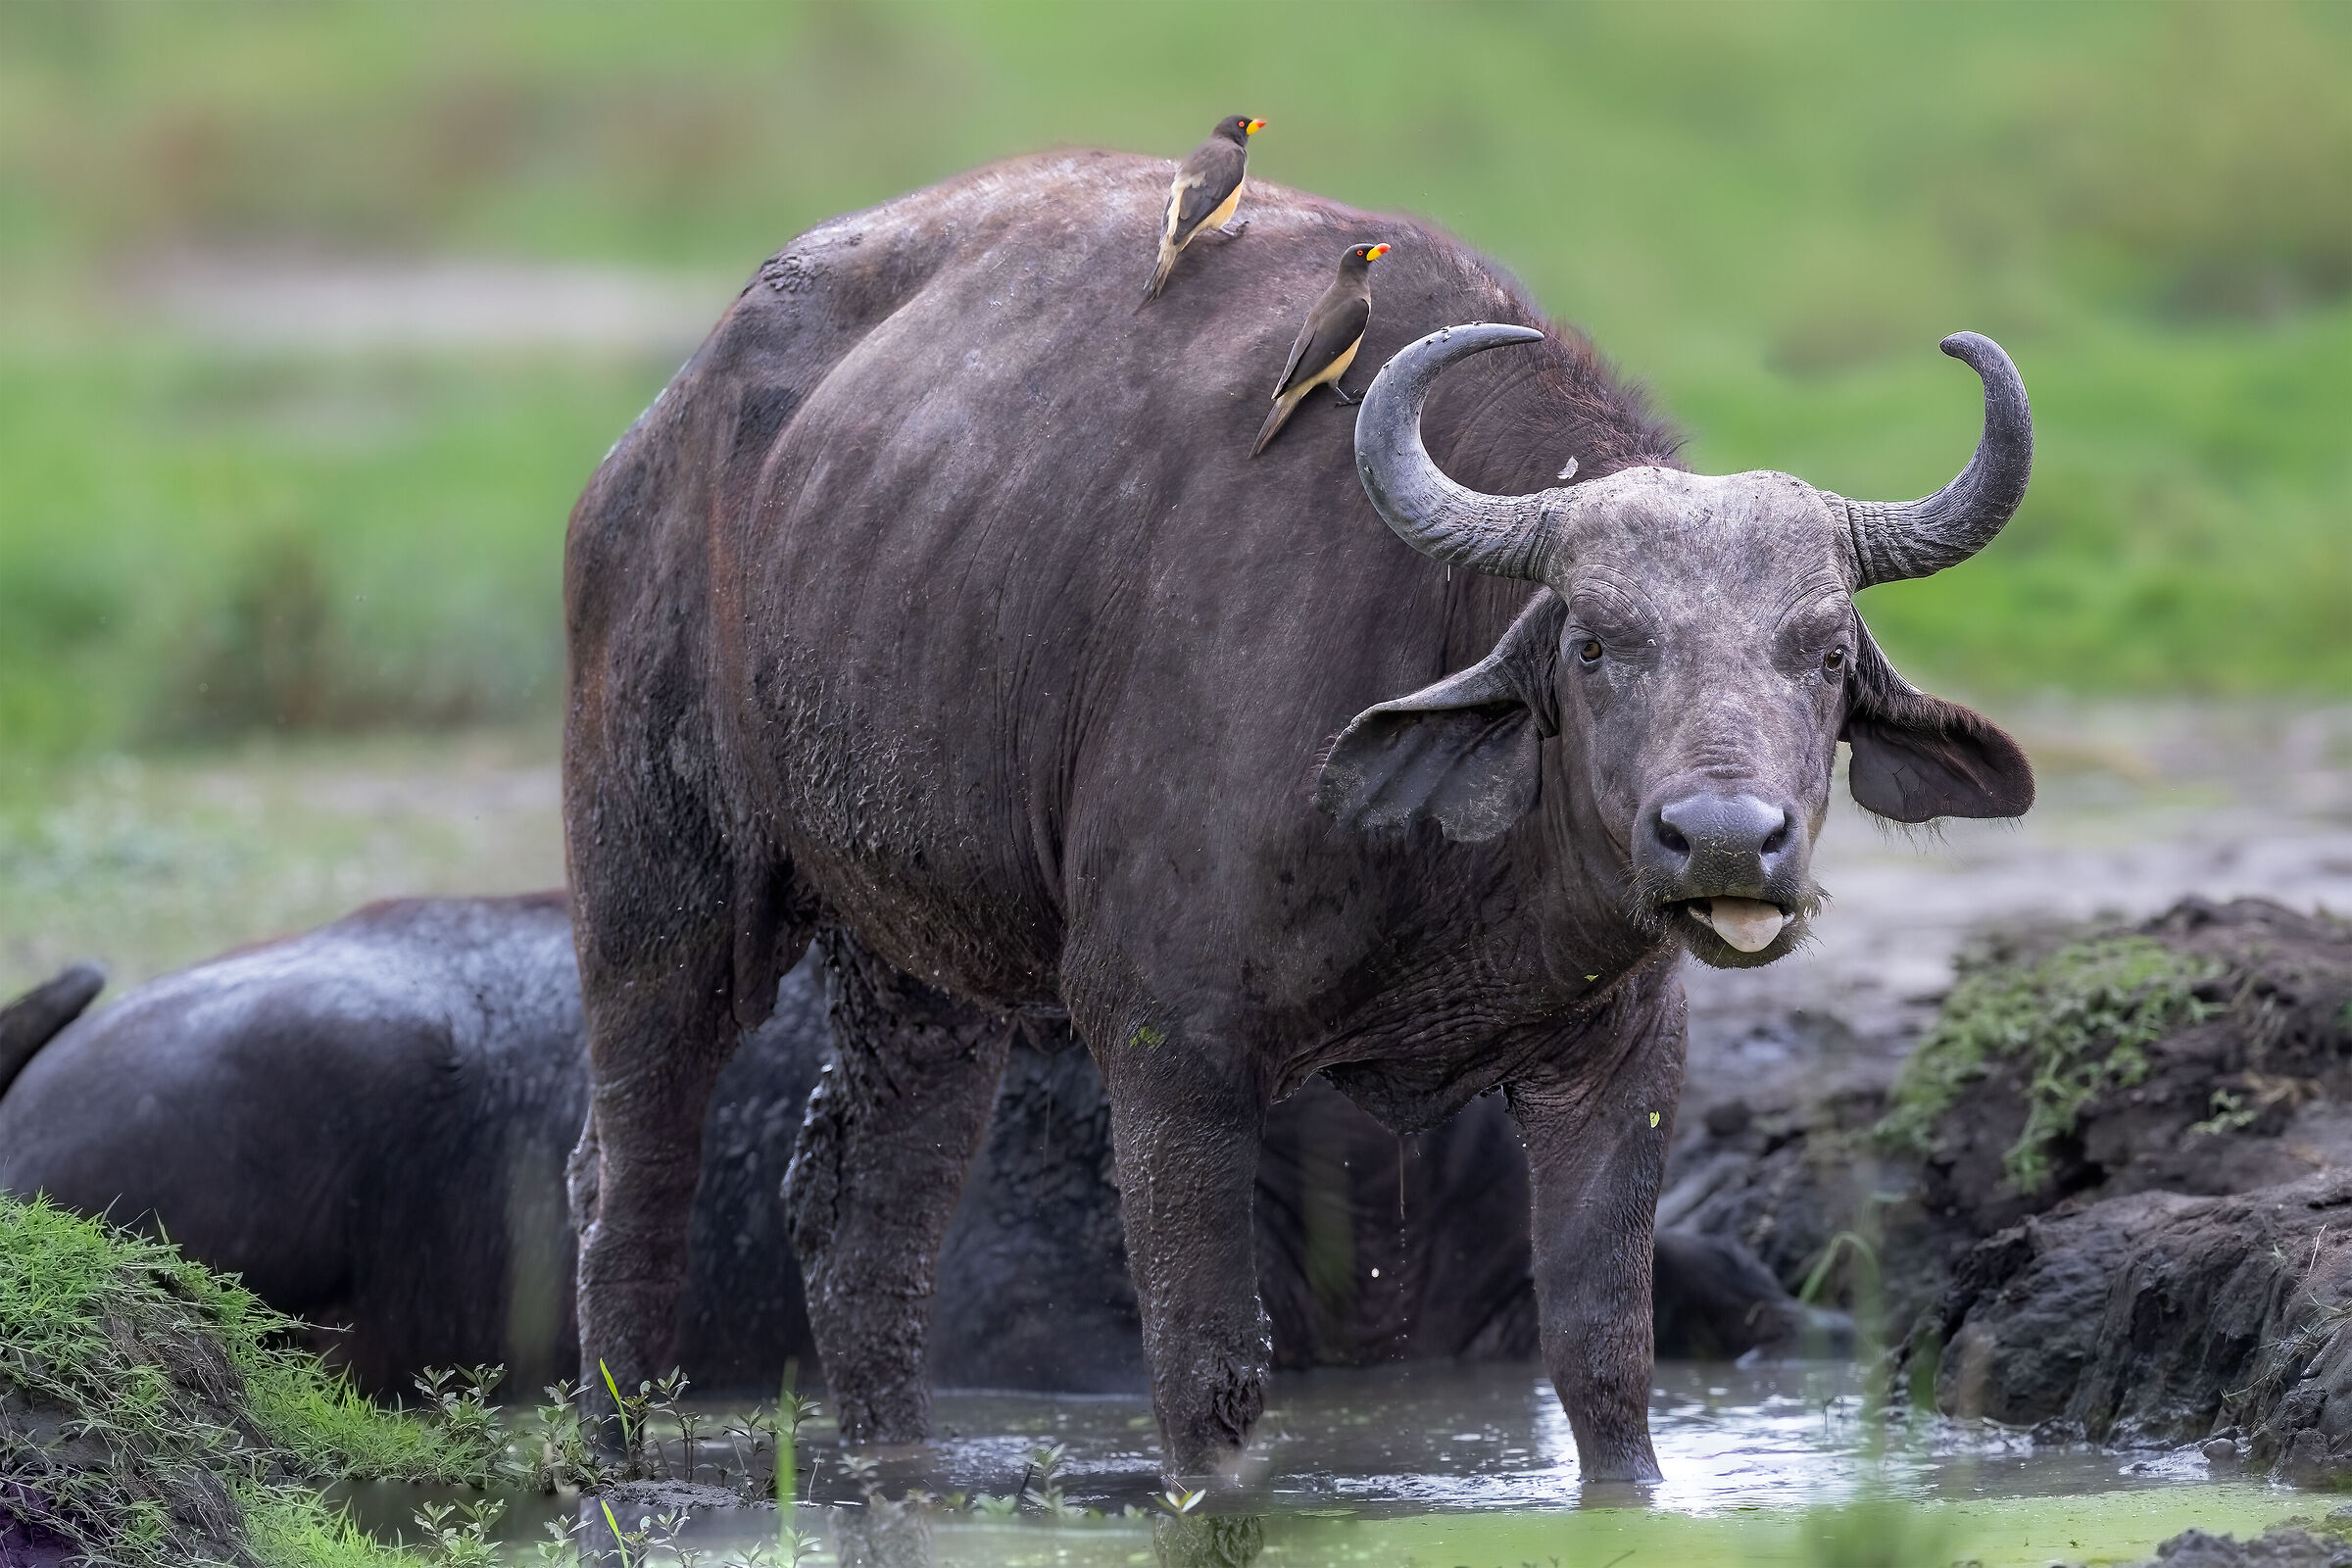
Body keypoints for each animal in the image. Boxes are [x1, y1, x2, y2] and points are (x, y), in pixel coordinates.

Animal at [562, 150, 2031, 1483]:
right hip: (654, 884)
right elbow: (1209, 1381)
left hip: (919, 954)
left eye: (1826, 652)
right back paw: (618, 1464)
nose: (1725, 838)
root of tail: (661, 436)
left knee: (866, 1209)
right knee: (629, 1172)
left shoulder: (1621, 1056)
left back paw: (896, 1470)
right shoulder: (1168, 1048)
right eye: (1596, 644)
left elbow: (1606, 1365)